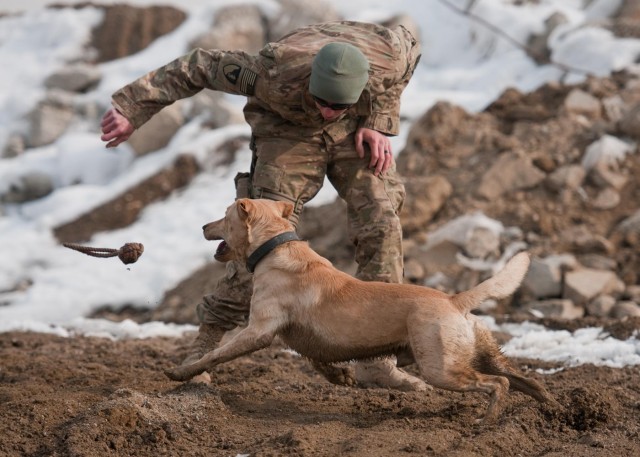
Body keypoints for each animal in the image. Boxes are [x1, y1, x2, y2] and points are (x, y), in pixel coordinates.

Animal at [165, 198, 556, 422]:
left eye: (224, 215)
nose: (203, 226)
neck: (274, 247)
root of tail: (454, 301)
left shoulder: (259, 331)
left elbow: (215, 355)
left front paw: (181, 373)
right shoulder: (304, 336)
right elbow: (319, 359)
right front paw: (341, 377)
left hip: (441, 368)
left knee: (498, 384)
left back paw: (487, 421)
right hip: (481, 353)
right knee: (523, 378)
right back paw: (550, 406)